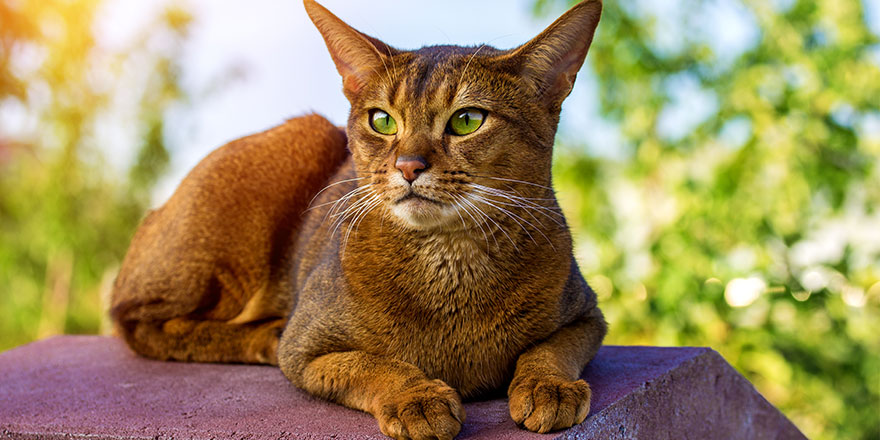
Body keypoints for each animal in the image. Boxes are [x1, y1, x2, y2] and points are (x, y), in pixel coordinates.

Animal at [110, 0, 604, 440]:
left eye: (467, 120)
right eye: (382, 120)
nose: (408, 166)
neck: (450, 262)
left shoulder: (588, 314)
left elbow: (551, 348)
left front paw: (549, 385)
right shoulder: (306, 348)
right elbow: (371, 363)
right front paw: (415, 397)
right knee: (136, 321)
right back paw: (263, 335)